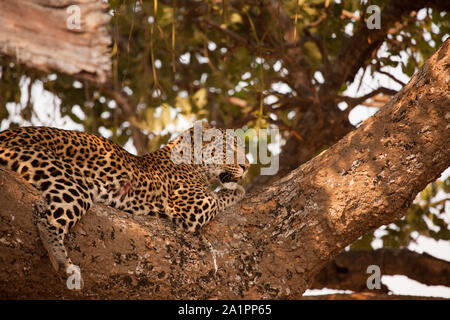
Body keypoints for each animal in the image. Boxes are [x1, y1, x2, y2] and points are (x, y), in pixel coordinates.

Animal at [0, 121, 250, 288]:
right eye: (230, 148)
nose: (247, 167)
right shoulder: (194, 206)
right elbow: (220, 197)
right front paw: (237, 190)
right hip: (71, 184)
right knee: (48, 221)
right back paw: (64, 263)